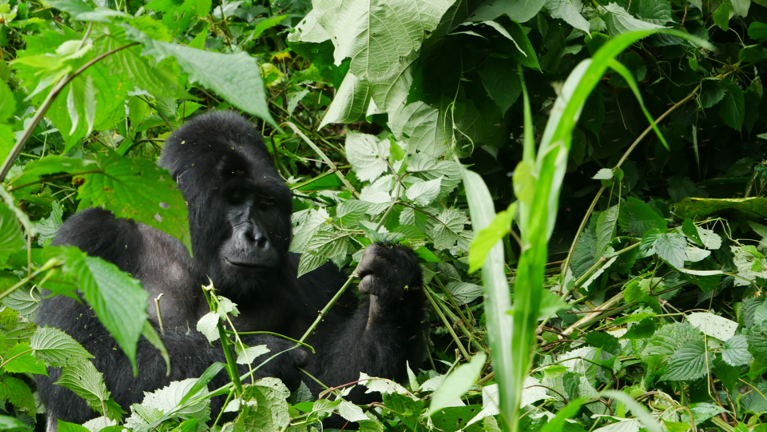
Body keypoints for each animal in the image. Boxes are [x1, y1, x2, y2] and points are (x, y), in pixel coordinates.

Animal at [36, 111, 428, 428]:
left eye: (267, 204)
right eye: (234, 198)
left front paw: (393, 289)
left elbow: (336, 395)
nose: (257, 237)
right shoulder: (86, 238)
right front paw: (263, 362)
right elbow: (81, 362)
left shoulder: (310, 272)